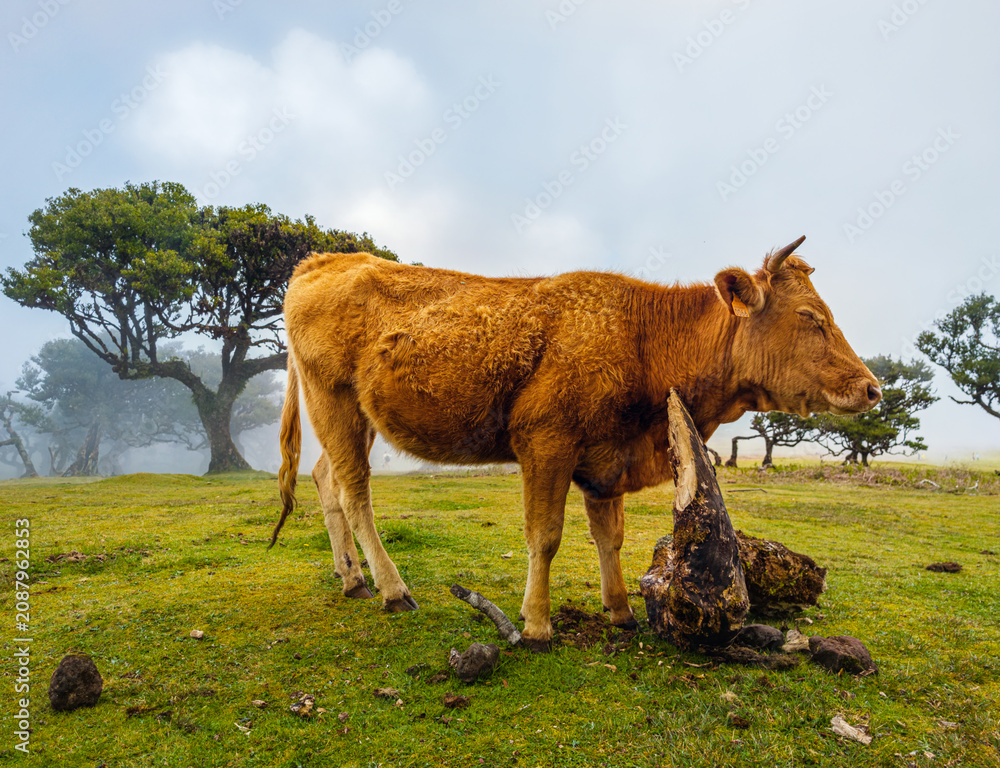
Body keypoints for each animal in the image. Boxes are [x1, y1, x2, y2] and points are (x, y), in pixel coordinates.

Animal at [270, 236, 880, 651]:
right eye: (810, 316)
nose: (872, 387)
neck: (642, 336)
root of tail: (322, 260)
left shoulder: (606, 460)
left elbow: (610, 538)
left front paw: (621, 610)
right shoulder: (546, 443)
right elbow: (545, 536)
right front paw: (537, 624)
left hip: (355, 415)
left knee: (326, 479)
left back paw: (351, 577)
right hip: (334, 401)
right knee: (354, 492)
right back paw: (391, 588)